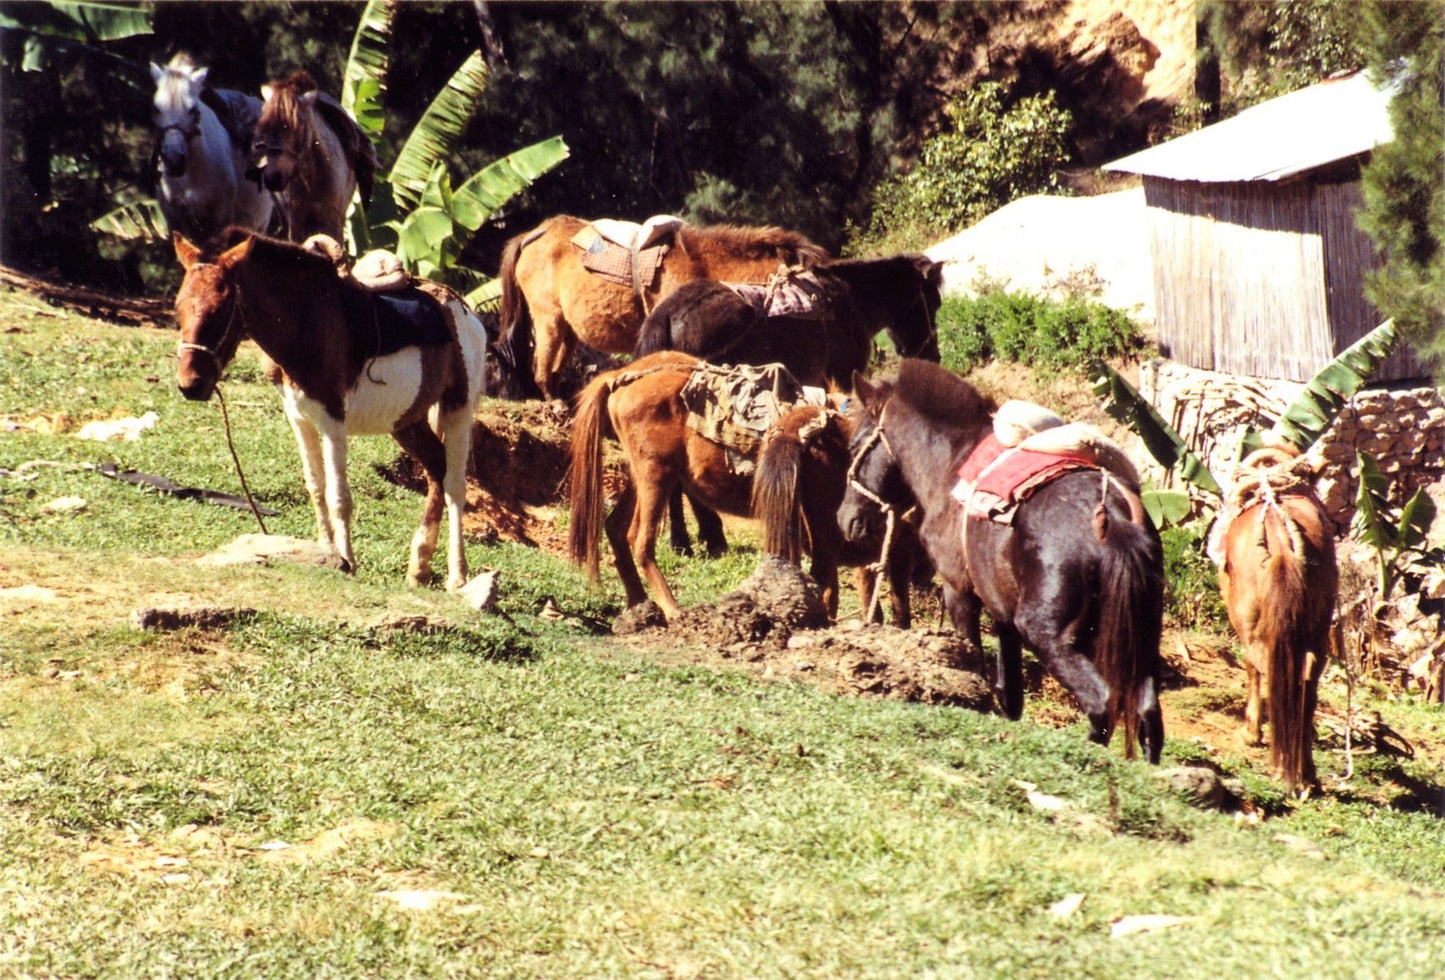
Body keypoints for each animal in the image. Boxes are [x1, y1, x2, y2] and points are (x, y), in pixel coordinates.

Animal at [171, 228, 488, 592]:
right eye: (178, 308)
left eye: (221, 309)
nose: (191, 385)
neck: (305, 323)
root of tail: (466, 313)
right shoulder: (299, 417)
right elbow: (317, 488)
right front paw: (326, 553)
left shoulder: (333, 420)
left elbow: (339, 497)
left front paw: (348, 561)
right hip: (407, 422)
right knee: (436, 469)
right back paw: (419, 567)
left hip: (458, 408)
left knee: (454, 485)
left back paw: (457, 575)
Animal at [248, 70, 375, 241]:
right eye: (264, 125)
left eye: (299, 126)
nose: (273, 177)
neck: (314, 181)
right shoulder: (296, 222)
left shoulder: (333, 220)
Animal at [494, 213, 826, 398]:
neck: (704, 266)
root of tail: (532, 235)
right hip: (548, 320)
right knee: (541, 370)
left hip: (568, 330)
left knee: (552, 370)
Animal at [838, 364, 1161, 763]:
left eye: (855, 447)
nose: (846, 520)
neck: (952, 463)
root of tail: (1110, 517)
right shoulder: (1002, 615)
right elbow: (1011, 693)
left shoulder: (959, 593)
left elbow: (974, 662)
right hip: (1141, 640)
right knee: (1148, 715)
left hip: (1046, 633)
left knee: (1100, 702)